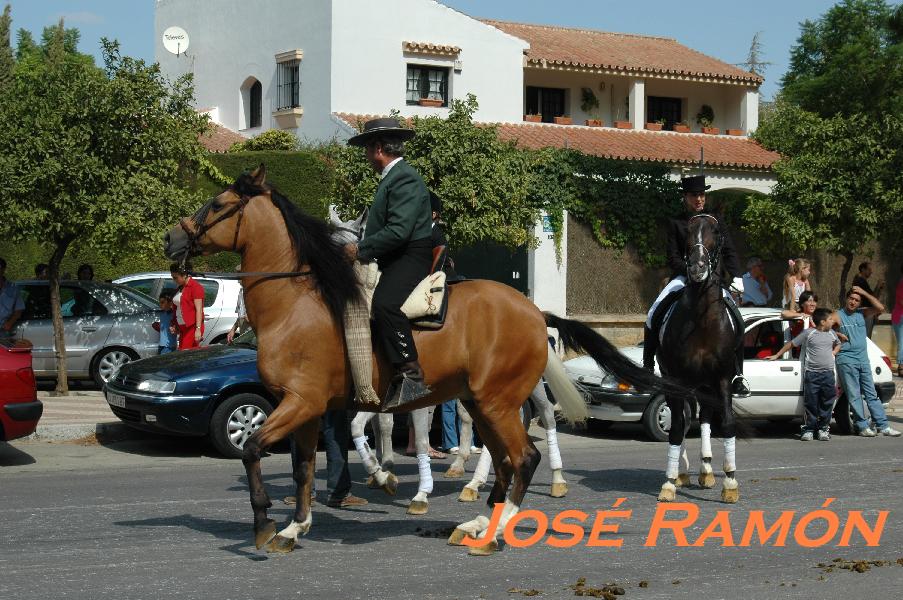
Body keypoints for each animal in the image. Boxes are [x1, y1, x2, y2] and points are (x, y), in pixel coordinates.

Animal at [164, 166, 708, 556]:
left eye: (219, 204)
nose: (172, 240)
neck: (296, 302)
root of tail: (534, 310)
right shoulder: (306, 407)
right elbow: (302, 469)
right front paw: (295, 528)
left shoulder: (301, 402)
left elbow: (254, 449)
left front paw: (262, 523)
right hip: (483, 403)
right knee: (505, 461)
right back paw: (479, 520)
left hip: (497, 402)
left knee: (523, 457)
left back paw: (495, 532)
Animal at [656, 213, 740, 504]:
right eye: (687, 234)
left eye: (716, 232)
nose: (697, 268)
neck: (703, 321)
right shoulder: (676, 379)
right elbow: (676, 426)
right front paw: (669, 483)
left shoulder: (723, 378)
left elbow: (726, 423)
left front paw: (730, 482)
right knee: (682, 421)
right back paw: (681, 473)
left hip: (706, 384)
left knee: (703, 418)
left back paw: (706, 469)